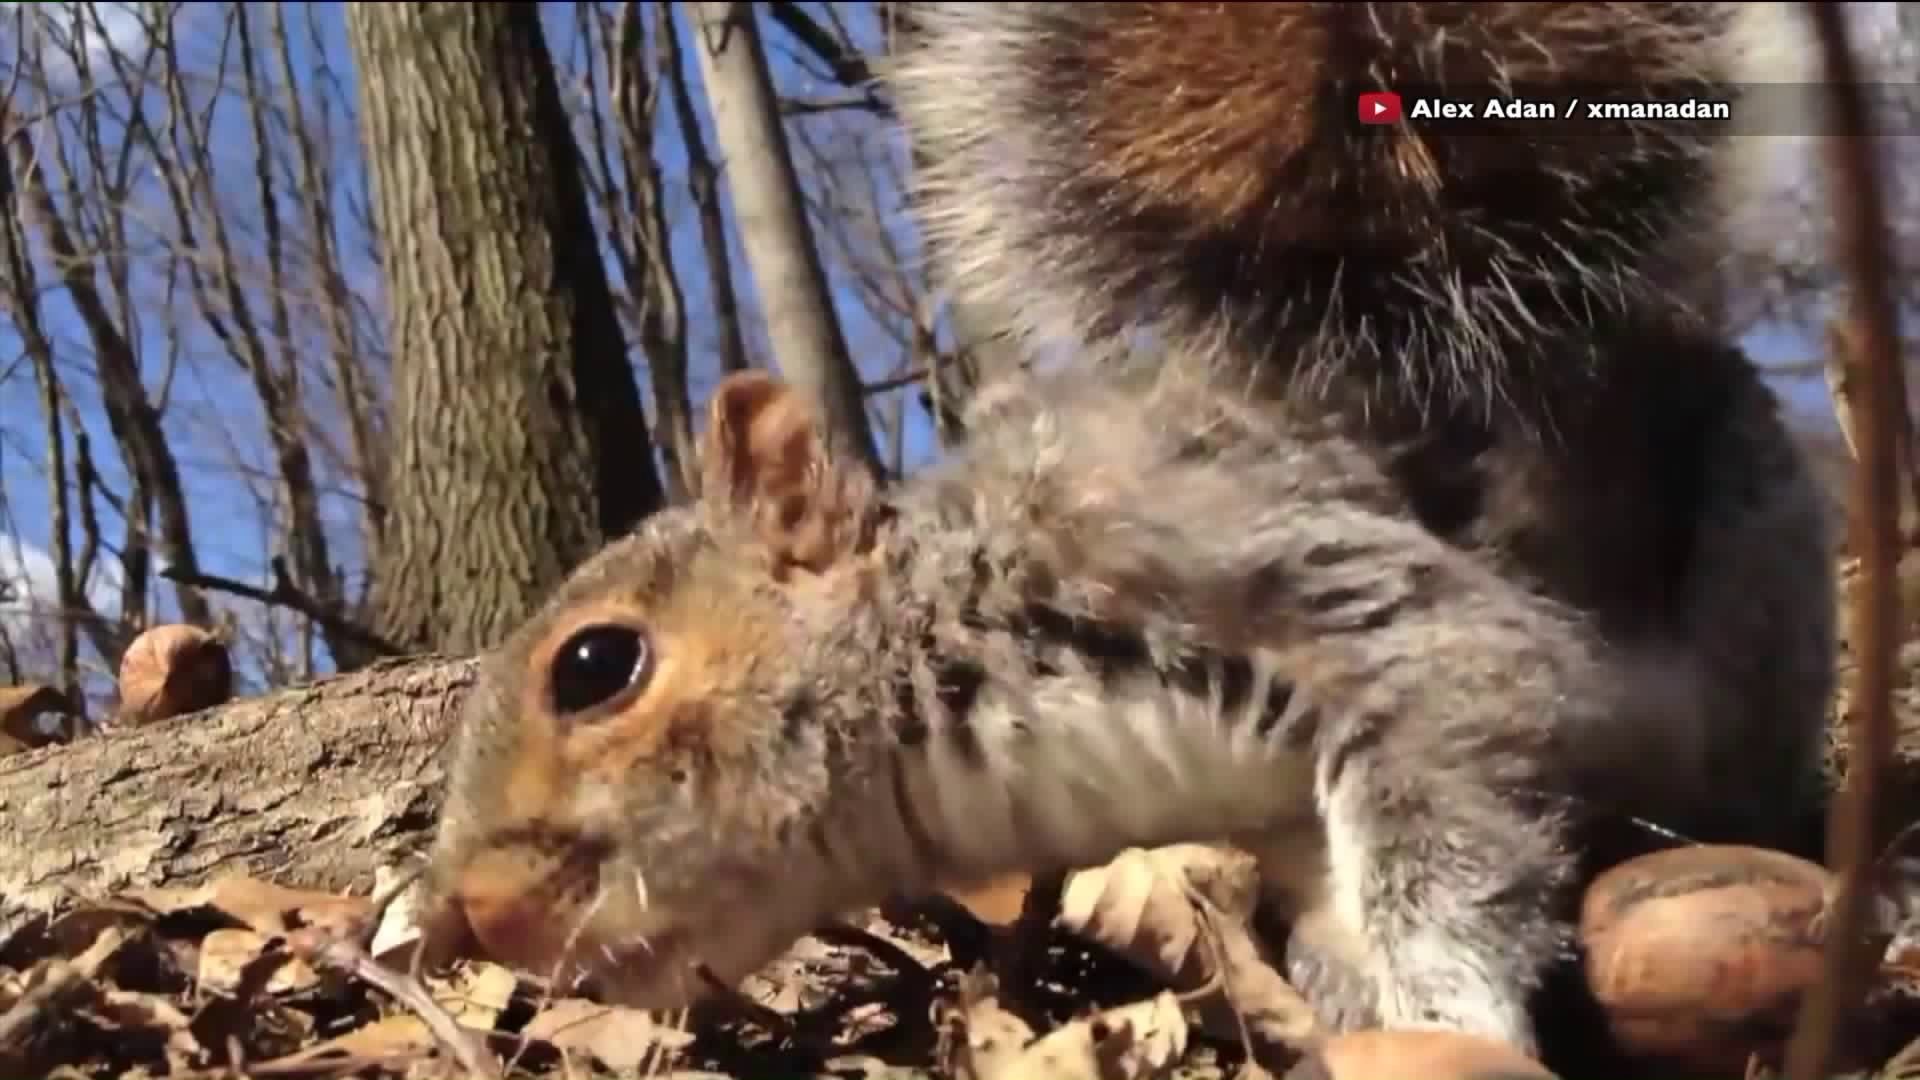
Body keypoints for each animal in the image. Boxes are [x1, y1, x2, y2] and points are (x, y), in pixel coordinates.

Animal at [424, 367, 1622, 1053]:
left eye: (595, 665)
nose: (467, 916)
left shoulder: (1296, 589)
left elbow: (1455, 724)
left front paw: (1448, 1020)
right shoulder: (1287, 832)